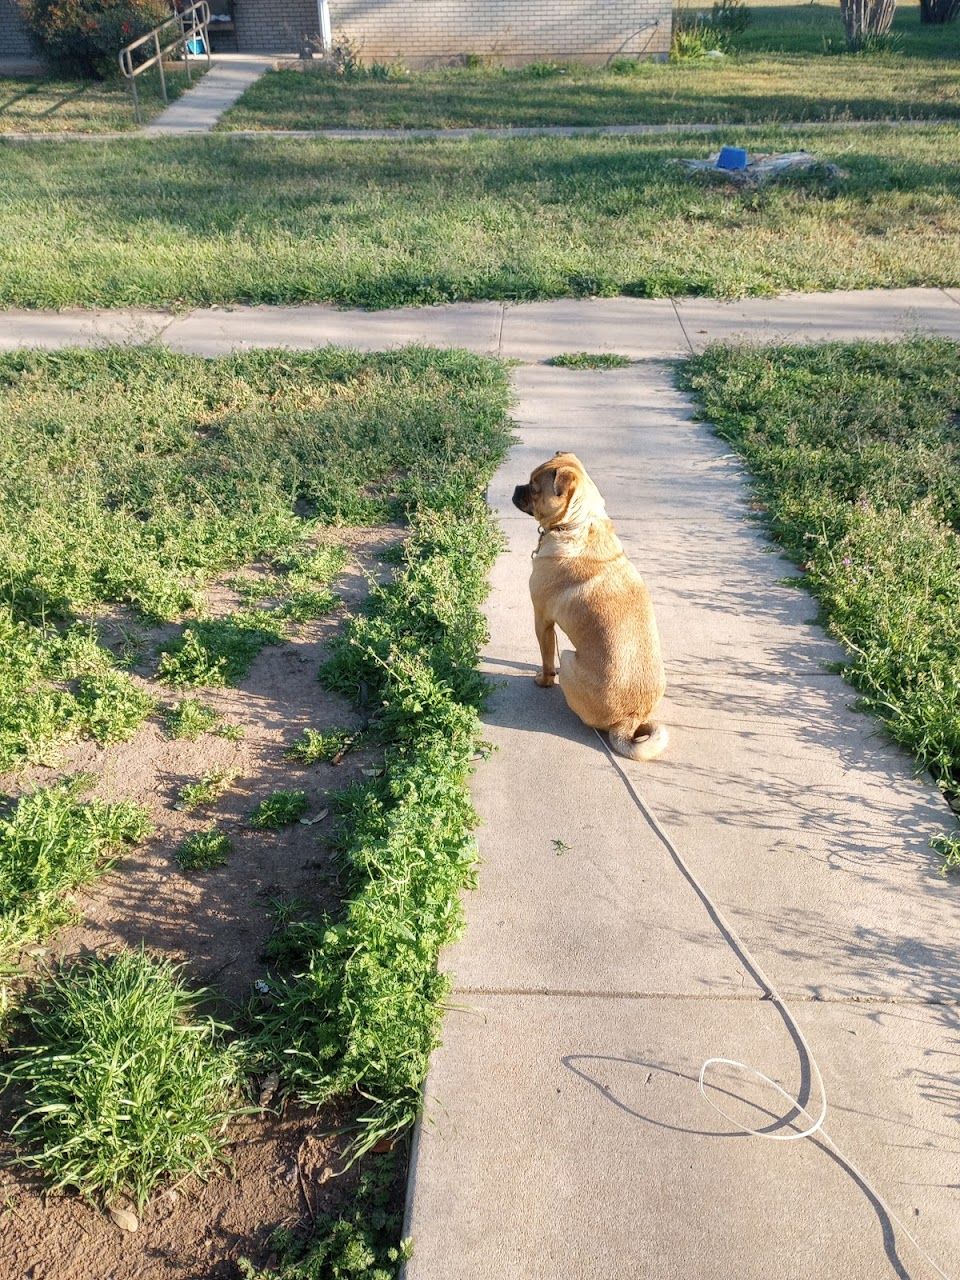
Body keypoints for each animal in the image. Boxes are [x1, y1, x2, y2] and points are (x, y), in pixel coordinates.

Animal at [512, 453, 670, 757]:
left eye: (534, 489)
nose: (516, 488)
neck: (577, 524)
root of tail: (629, 720)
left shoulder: (542, 620)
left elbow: (546, 659)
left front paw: (544, 680)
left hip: (568, 657)